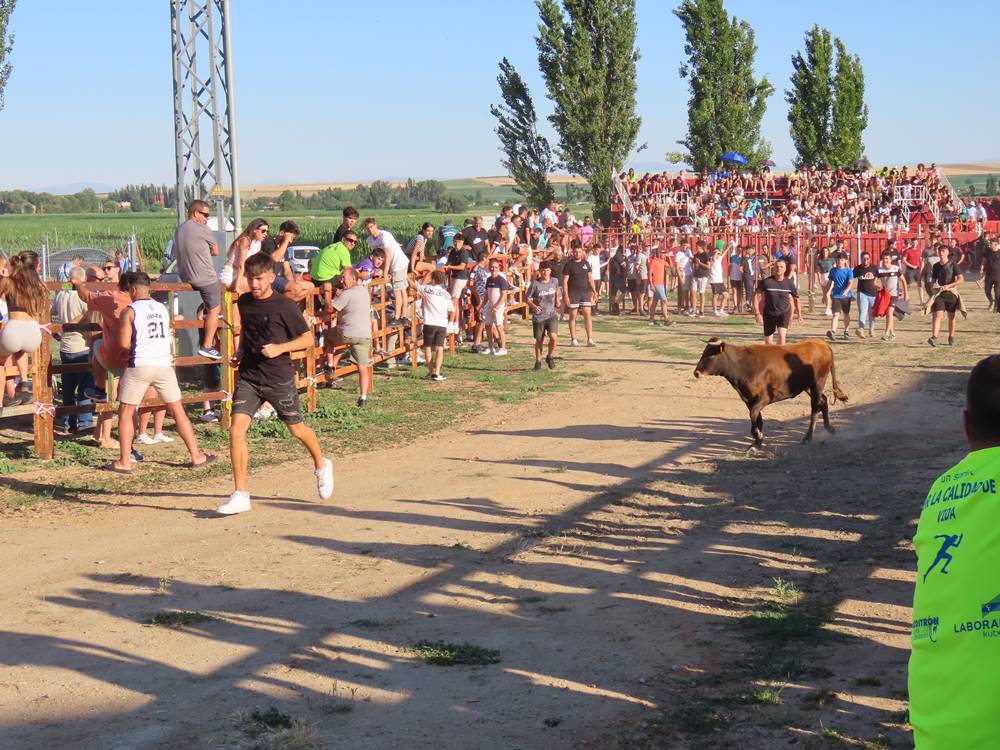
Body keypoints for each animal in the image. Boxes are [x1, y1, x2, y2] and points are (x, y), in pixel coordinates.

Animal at [696, 340, 852, 450]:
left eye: (711, 354)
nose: (696, 373)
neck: (743, 365)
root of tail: (823, 344)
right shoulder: (749, 399)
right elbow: (757, 417)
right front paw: (757, 443)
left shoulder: (764, 398)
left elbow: (753, 414)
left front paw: (758, 436)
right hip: (808, 386)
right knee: (823, 401)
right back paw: (829, 428)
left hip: (818, 382)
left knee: (815, 406)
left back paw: (808, 437)